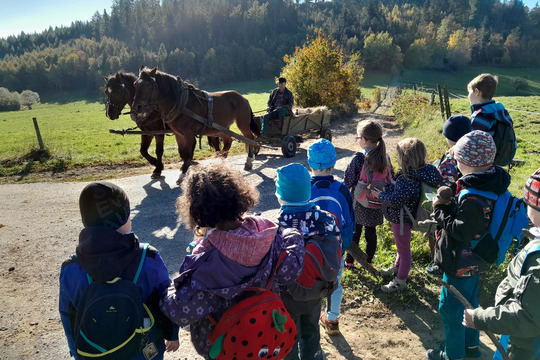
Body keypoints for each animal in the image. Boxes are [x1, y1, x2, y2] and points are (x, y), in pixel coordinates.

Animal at [132, 67, 260, 183]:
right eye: (135, 84)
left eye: (148, 85)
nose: (137, 108)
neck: (181, 102)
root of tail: (243, 98)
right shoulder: (178, 134)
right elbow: (182, 152)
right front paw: (183, 168)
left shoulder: (188, 133)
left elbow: (188, 153)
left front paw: (183, 173)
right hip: (223, 127)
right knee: (228, 141)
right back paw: (220, 158)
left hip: (242, 124)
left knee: (250, 139)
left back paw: (249, 160)